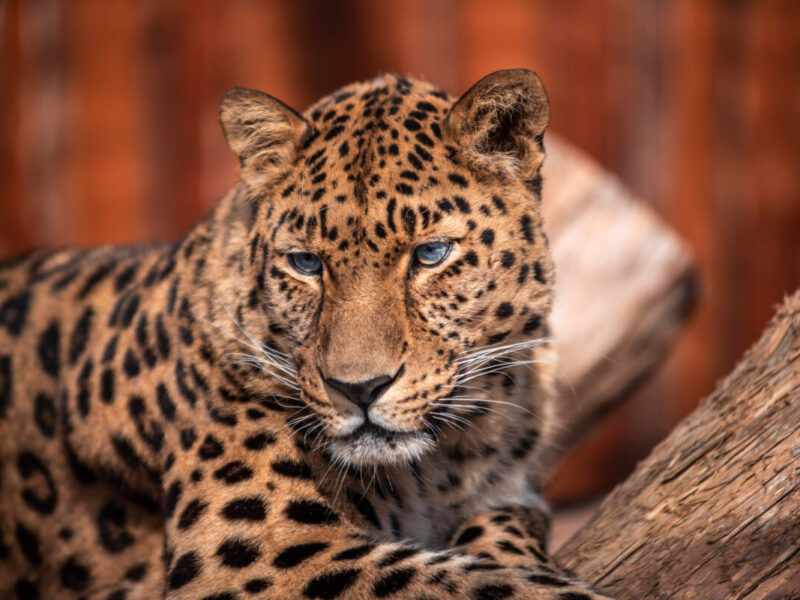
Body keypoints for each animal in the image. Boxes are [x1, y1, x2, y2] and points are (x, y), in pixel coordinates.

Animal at [0, 69, 612, 600]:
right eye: (305, 263)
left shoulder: (510, 493)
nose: (360, 389)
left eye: (431, 254)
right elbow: (474, 584)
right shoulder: (266, 554)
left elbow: (501, 541)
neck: (437, 469)